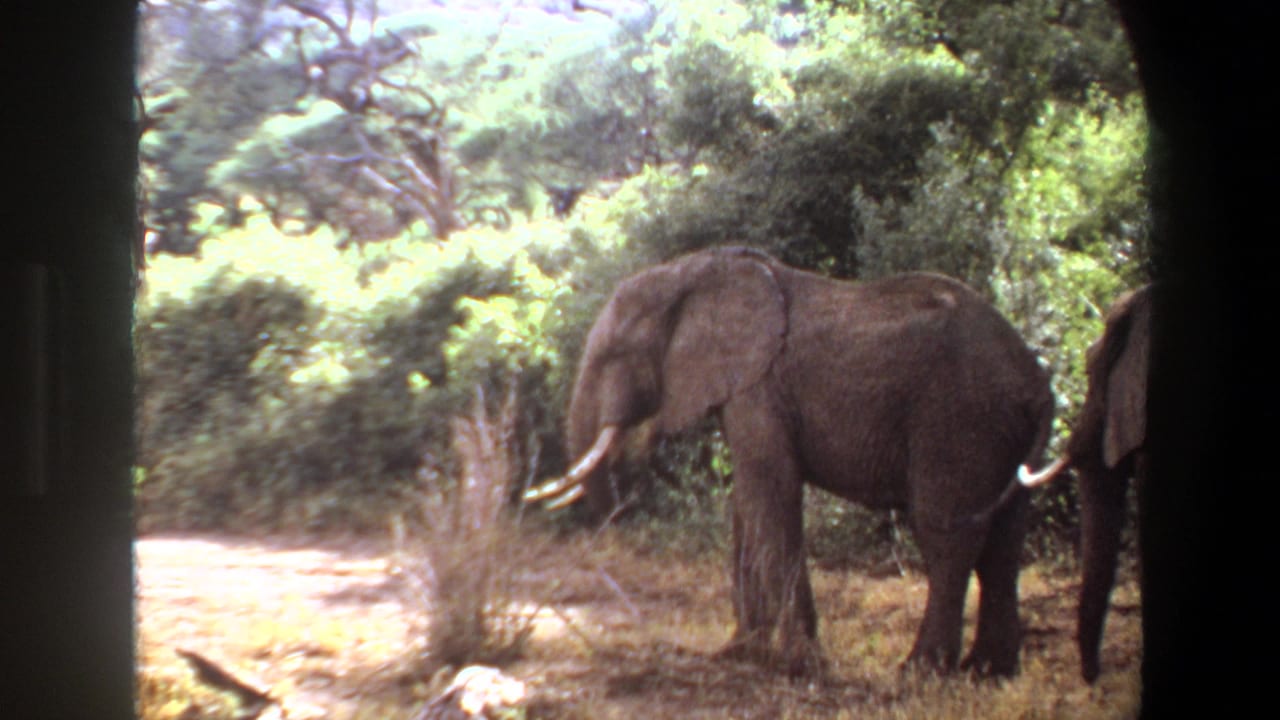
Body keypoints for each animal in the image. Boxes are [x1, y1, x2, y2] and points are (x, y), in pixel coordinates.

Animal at [526, 246, 1055, 677]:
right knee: (1004, 538)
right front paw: (739, 653)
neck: (691, 271)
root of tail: (1037, 382)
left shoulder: (759, 387)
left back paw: (920, 671)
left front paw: (801, 665)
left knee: (947, 534)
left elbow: (772, 493)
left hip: (959, 419)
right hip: (997, 432)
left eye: (615, 354)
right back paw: (990, 673)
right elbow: (747, 502)